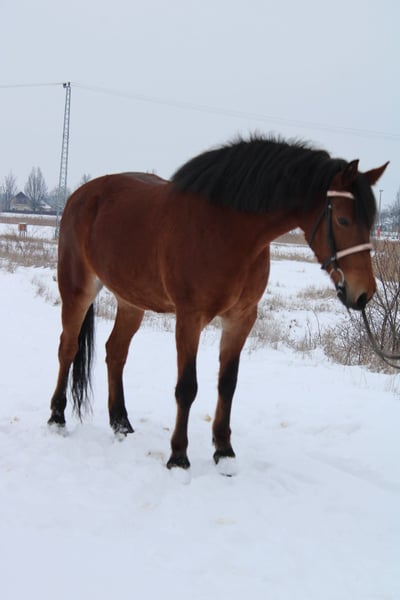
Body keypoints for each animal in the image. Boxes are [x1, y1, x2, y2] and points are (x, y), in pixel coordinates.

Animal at [48, 135, 388, 470]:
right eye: (343, 220)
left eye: (371, 222)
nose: (363, 293)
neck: (226, 230)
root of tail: (81, 195)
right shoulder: (189, 318)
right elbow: (187, 387)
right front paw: (178, 455)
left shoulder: (241, 318)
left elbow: (228, 383)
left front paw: (223, 450)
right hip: (77, 289)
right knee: (68, 347)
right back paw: (57, 416)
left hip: (131, 301)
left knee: (115, 353)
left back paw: (121, 423)